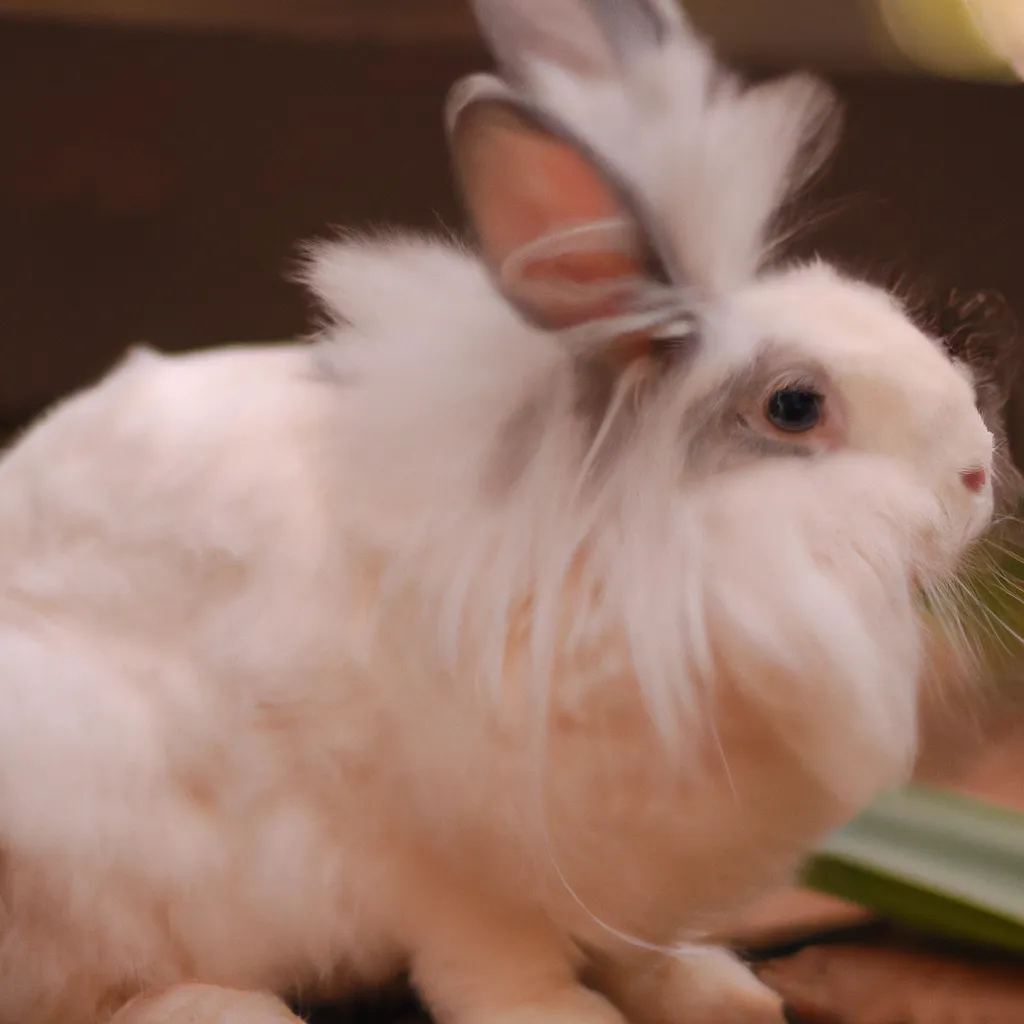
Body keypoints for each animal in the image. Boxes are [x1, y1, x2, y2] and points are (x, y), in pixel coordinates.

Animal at [0, 1, 998, 1023]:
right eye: (795, 406)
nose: (977, 473)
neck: (642, 558)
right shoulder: (447, 860)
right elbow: (491, 955)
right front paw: (559, 1013)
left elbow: (630, 945)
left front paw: (712, 990)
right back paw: (221, 1007)